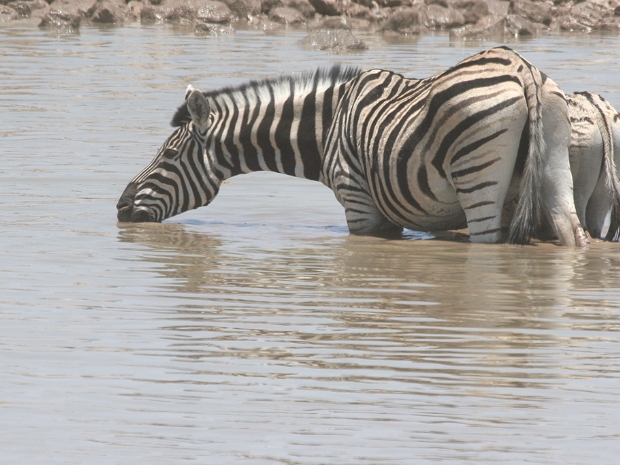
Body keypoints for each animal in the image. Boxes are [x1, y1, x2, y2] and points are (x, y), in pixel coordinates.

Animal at [118, 47, 588, 246]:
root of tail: (521, 68)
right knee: (573, 237)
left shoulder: (359, 204)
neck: (326, 128)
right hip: (554, 169)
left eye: (170, 156)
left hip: (478, 181)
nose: (120, 207)